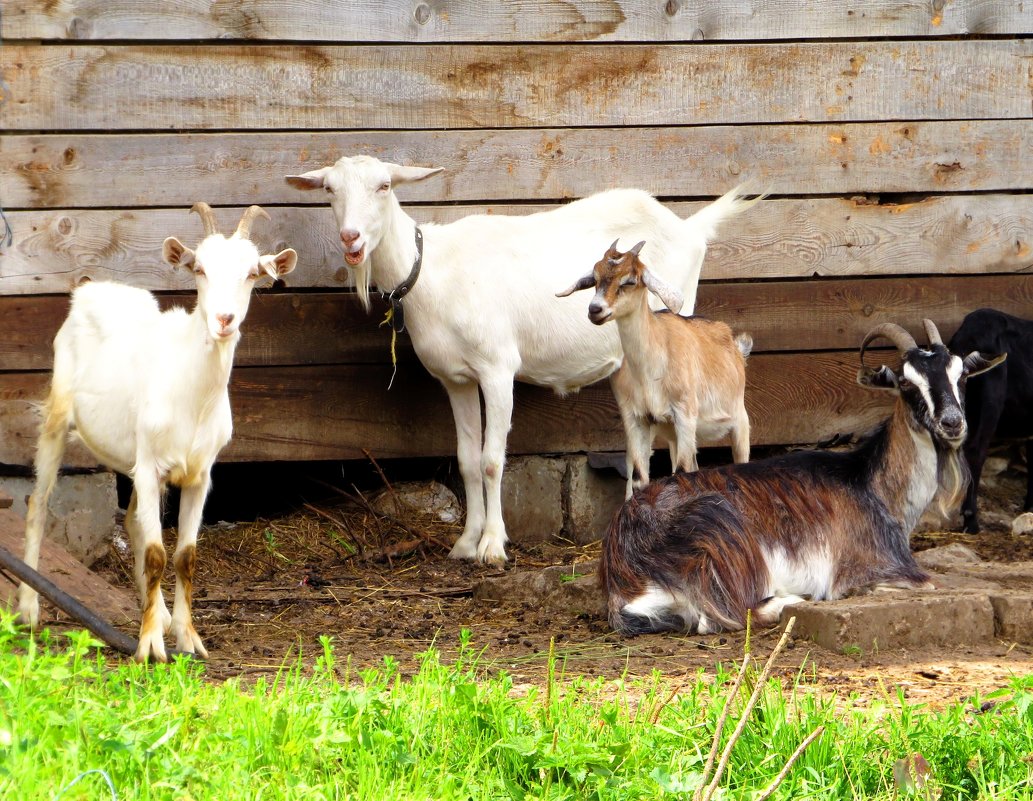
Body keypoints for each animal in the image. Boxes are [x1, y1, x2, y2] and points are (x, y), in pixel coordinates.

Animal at [557, 240, 752, 498]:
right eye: (595, 278)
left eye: (629, 281)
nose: (595, 309)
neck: (649, 372)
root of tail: (736, 345)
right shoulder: (635, 417)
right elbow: (640, 478)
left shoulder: (684, 412)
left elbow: (681, 473)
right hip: (673, 434)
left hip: (738, 419)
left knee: (739, 460)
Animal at [603, 316, 1004, 636]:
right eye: (906, 382)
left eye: (961, 375)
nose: (952, 423)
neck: (870, 482)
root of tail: (622, 562)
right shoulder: (873, 567)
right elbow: (925, 584)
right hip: (720, 532)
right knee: (719, 616)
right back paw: (792, 599)